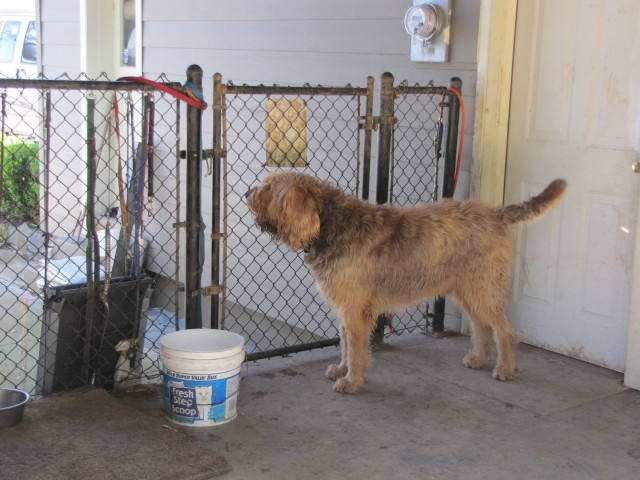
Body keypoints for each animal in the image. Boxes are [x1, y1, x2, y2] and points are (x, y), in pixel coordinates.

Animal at [245, 172, 567, 394]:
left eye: (270, 186)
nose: (247, 191)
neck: (331, 224)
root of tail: (495, 213)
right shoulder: (345, 308)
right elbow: (345, 342)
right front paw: (342, 369)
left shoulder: (355, 310)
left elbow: (357, 347)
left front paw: (352, 380)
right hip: (467, 290)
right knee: (482, 327)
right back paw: (478, 358)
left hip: (483, 288)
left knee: (505, 331)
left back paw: (505, 368)